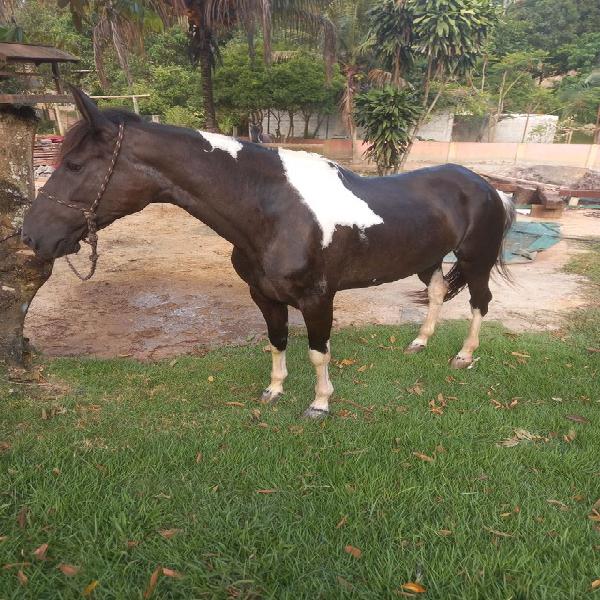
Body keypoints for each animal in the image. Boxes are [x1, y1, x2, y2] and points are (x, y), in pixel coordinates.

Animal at [21, 88, 512, 418]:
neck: (275, 211)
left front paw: (319, 404)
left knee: (479, 303)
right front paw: (274, 391)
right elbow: (276, 341)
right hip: (429, 259)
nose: (31, 236)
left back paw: (464, 356)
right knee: (436, 294)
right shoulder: (263, 295)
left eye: (75, 165)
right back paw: (419, 342)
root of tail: (485, 186)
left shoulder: (317, 299)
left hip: (476, 261)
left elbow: (318, 351)